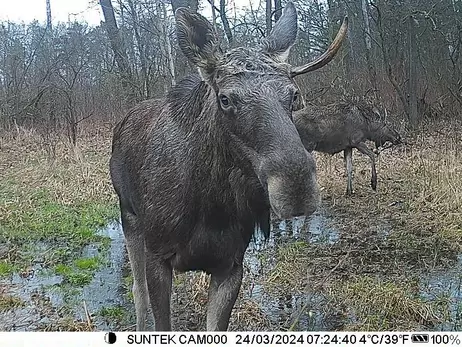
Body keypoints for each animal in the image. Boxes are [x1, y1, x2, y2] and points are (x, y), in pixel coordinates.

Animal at [108, 4, 346, 334]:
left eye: (294, 95)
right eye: (225, 98)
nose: (296, 187)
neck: (210, 207)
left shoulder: (231, 266)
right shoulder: (159, 257)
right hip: (129, 217)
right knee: (137, 292)